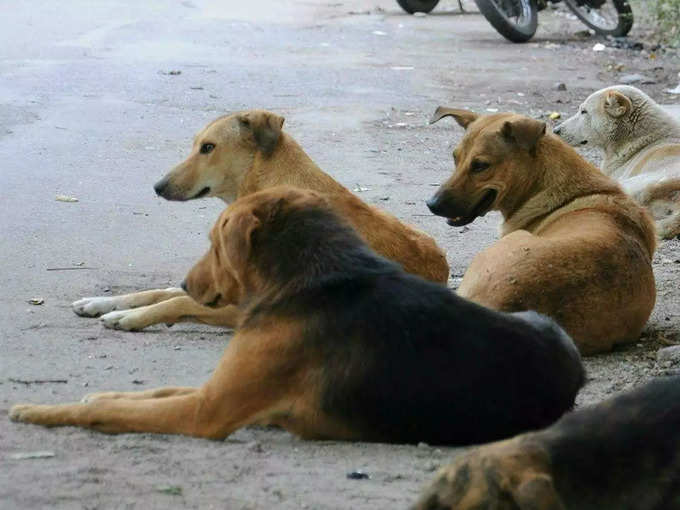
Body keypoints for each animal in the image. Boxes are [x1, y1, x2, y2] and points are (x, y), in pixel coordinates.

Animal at [9, 188, 584, 446]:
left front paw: (37, 410)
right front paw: (92, 389)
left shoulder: (207, 412)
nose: (191, 283)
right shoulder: (219, 391)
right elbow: (143, 394)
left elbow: (114, 410)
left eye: (214, 243)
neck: (314, 280)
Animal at [73, 109, 446, 330]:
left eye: (208, 147)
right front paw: (103, 303)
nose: (158, 187)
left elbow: (175, 299)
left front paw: (126, 317)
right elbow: (159, 292)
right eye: (196, 145)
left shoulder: (246, 306)